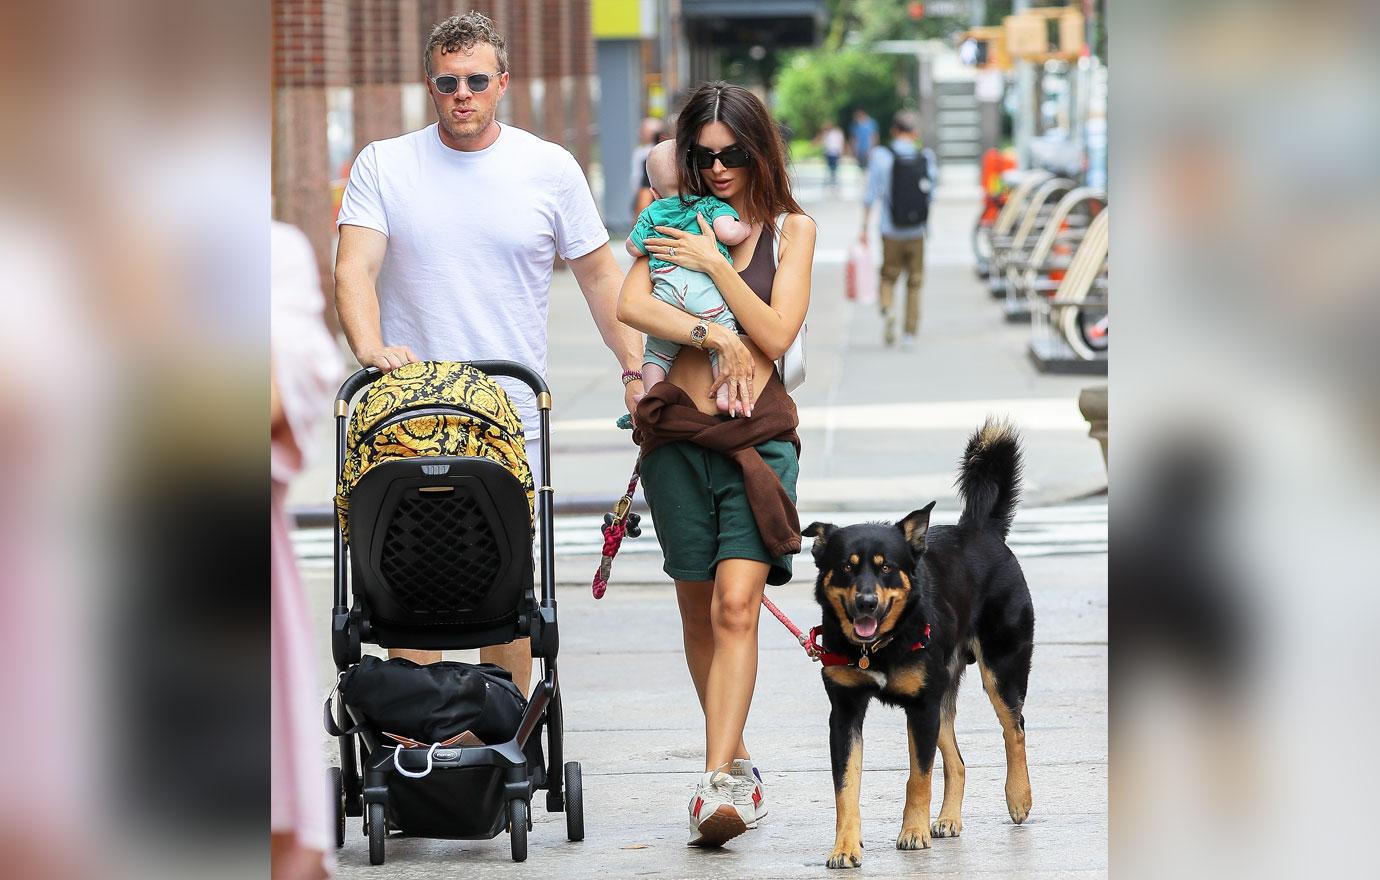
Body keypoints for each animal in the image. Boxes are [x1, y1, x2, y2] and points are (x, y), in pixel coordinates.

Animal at [800, 424, 1037, 871]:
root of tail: (981, 529)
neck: (877, 648)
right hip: (942, 693)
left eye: (887, 567)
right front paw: (845, 847)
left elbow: (918, 776)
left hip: (1000, 671)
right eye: (845, 568)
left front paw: (913, 832)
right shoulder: (845, 714)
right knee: (958, 762)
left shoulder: (921, 708)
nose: (866, 603)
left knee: (1013, 729)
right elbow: (846, 787)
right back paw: (947, 819)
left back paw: (1018, 797)